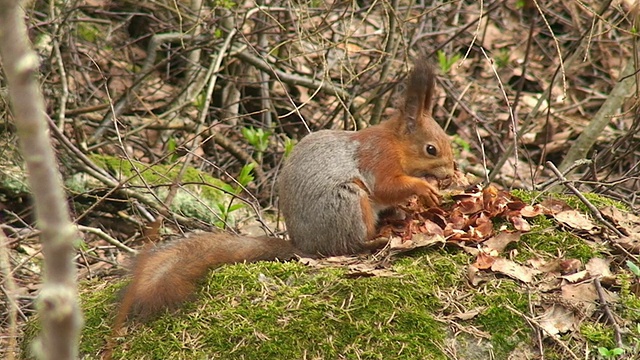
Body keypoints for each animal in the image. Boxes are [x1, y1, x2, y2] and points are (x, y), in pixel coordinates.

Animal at [115, 61, 456, 320]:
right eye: (431, 149)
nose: (451, 173)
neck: (396, 144)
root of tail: (303, 246)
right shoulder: (378, 159)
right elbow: (387, 187)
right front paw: (424, 188)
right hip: (348, 201)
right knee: (350, 245)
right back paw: (376, 240)